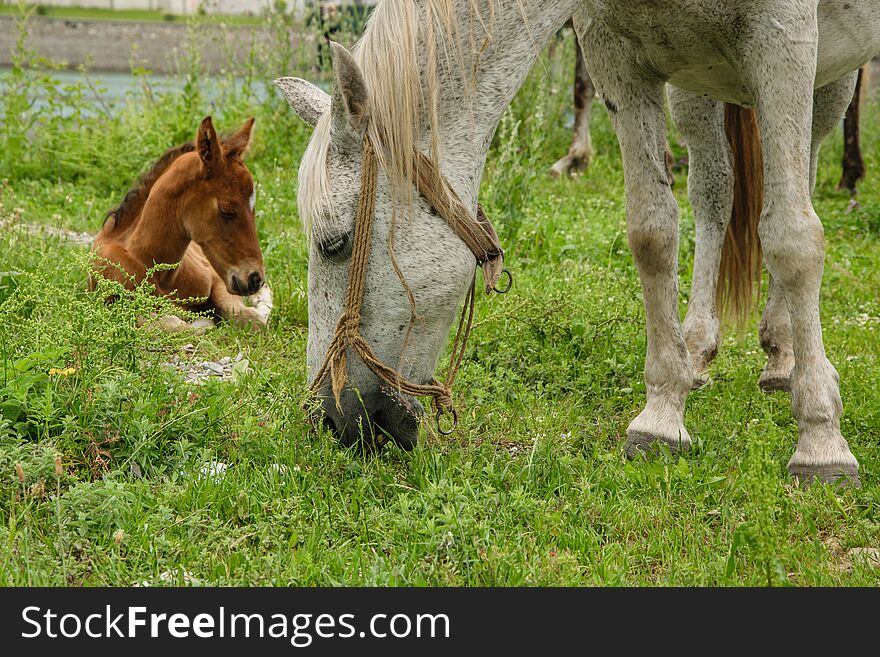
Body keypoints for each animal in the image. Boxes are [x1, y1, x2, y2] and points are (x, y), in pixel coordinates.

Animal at [89, 116, 270, 328]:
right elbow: (172, 324)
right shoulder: (116, 304)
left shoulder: (217, 280)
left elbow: (249, 318)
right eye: (226, 210)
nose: (255, 278)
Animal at [282, 0, 880, 482]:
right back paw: (699, 347)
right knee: (715, 190)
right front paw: (663, 415)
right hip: (699, 81)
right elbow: (652, 233)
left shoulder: (785, 43)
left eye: (334, 242)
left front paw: (821, 439)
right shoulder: (616, 56)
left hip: (827, 72)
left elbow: (793, 238)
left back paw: (785, 354)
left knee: (800, 175)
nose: (329, 420)